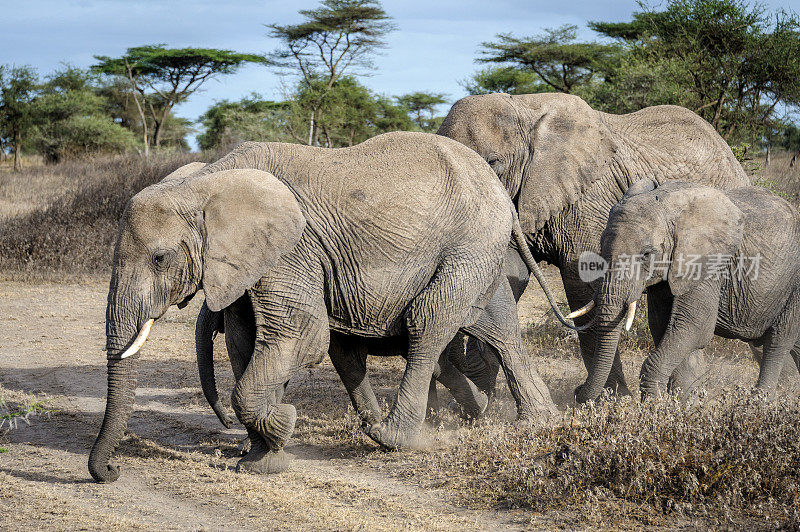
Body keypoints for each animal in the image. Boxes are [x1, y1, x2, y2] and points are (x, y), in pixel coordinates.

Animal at [89, 133, 576, 482]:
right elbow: (248, 343)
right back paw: (530, 422)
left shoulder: (291, 249)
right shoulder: (255, 259)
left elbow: (300, 335)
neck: (207, 181)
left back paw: (392, 436)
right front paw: (261, 461)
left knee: (428, 321)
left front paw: (280, 428)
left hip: (469, 241)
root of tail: (500, 189)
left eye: (159, 259)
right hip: (478, 248)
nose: (111, 471)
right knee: (499, 326)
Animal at [434, 93, 752, 396]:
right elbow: (511, 275)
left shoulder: (587, 197)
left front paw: (605, 400)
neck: (524, 108)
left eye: (494, 163)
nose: (577, 392)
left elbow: (582, 284)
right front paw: (482, 392)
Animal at [576, 180, 800, 404]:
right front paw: (682, 403)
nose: (577, 391)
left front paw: (656, 404)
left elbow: (694, 326)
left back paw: (760, 401)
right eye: (601, 248)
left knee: (777, 342)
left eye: (646, 254)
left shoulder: (706, 265)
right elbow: (664, 326)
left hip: (794, 285)